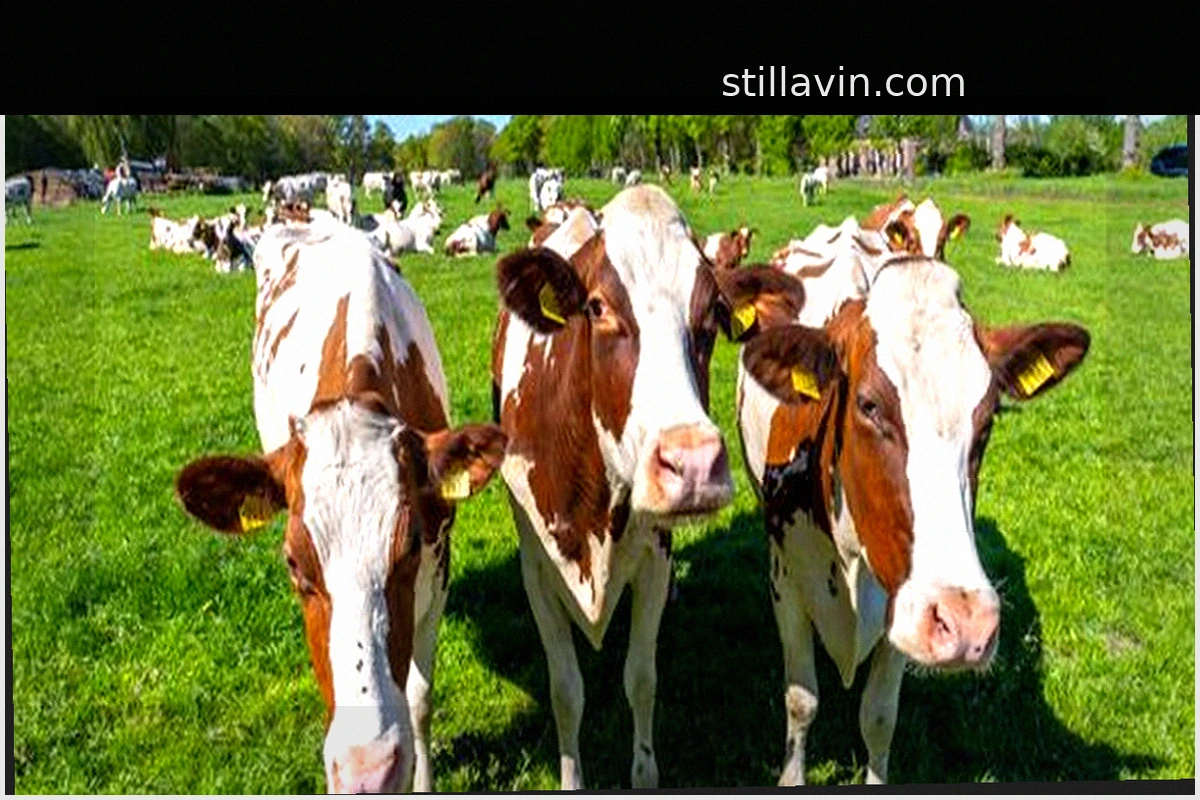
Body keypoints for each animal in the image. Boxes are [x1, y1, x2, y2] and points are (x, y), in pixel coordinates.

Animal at [490, 185, 808, 789]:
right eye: (596, 307)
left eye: (714, 313)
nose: (692, 463)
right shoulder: (536, 566)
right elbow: (566, 691)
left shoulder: (654, 558)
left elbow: (641, 678)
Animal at [735, 247, 1090, 785]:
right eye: (868, 404)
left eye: (988, 417)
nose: (966, 624)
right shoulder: (787, 580)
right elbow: (801, 700)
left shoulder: (902, 599)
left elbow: (879, 718)